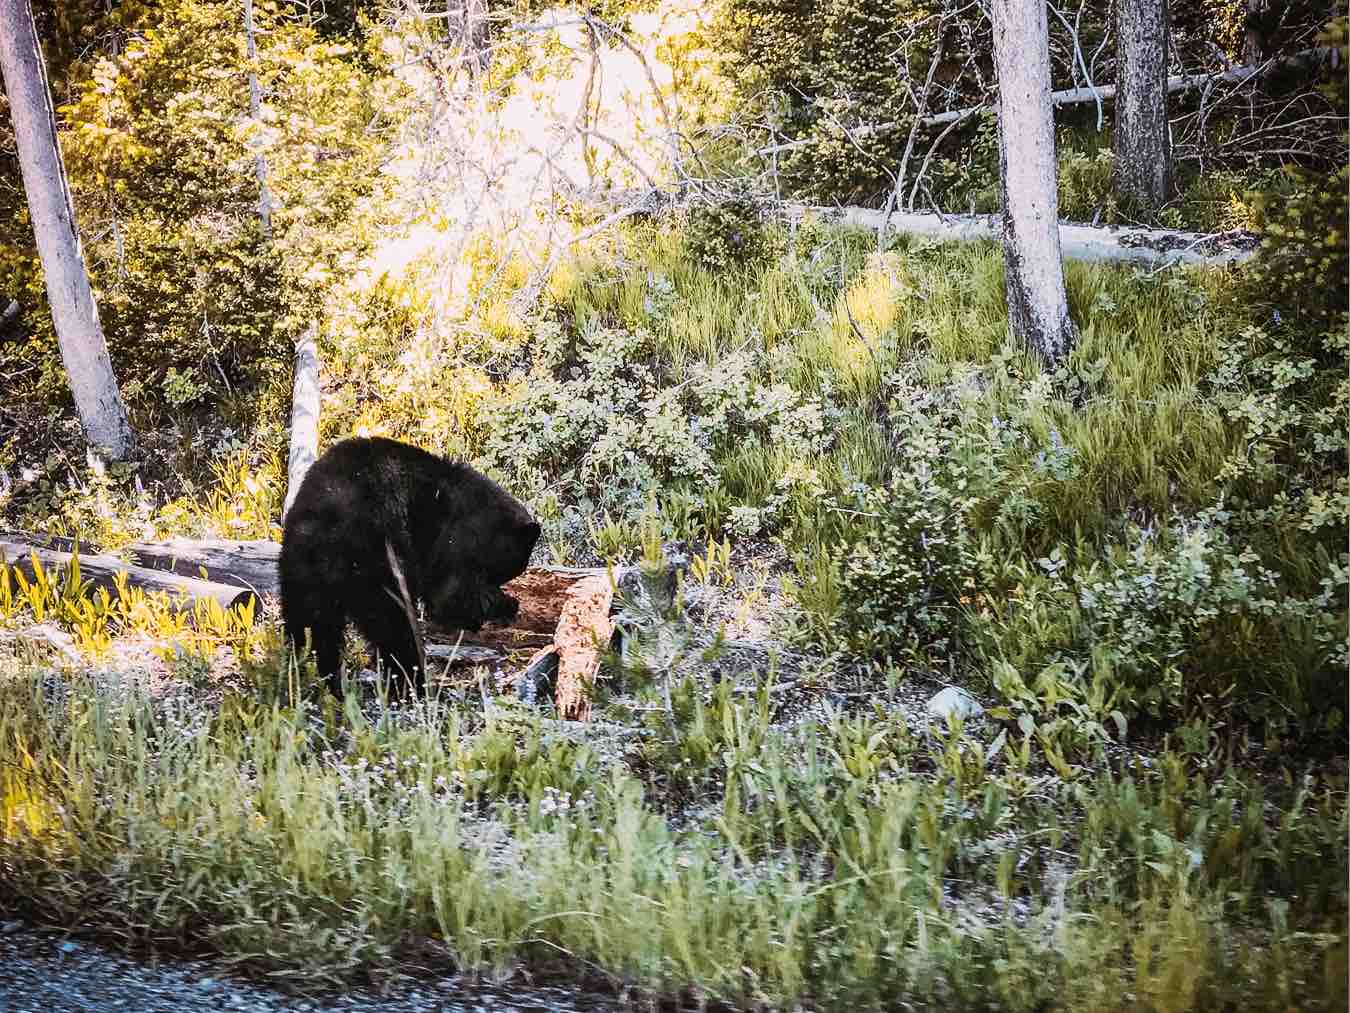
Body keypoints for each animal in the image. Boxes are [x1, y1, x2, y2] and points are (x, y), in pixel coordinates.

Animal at [278, 437, 537, 696]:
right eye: (500, 572)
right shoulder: (457, 541)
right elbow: (451, 597)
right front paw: (503, 605)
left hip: (298, 566)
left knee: (309, 623)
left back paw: (314, 673)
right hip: (376, 561)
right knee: (394, 626)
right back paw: (413, 682)